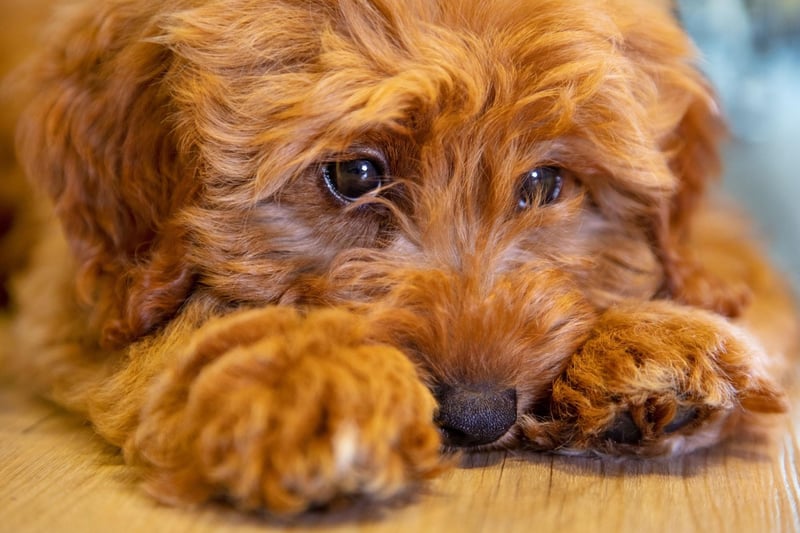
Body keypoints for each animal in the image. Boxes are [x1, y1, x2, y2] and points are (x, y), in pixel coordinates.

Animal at [4, 0, 792, 516]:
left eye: (544, 183)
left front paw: (650, 342)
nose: (479, 416)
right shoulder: (80, 288)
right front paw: (311, 377)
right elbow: (181, 322)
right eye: (354, 174)